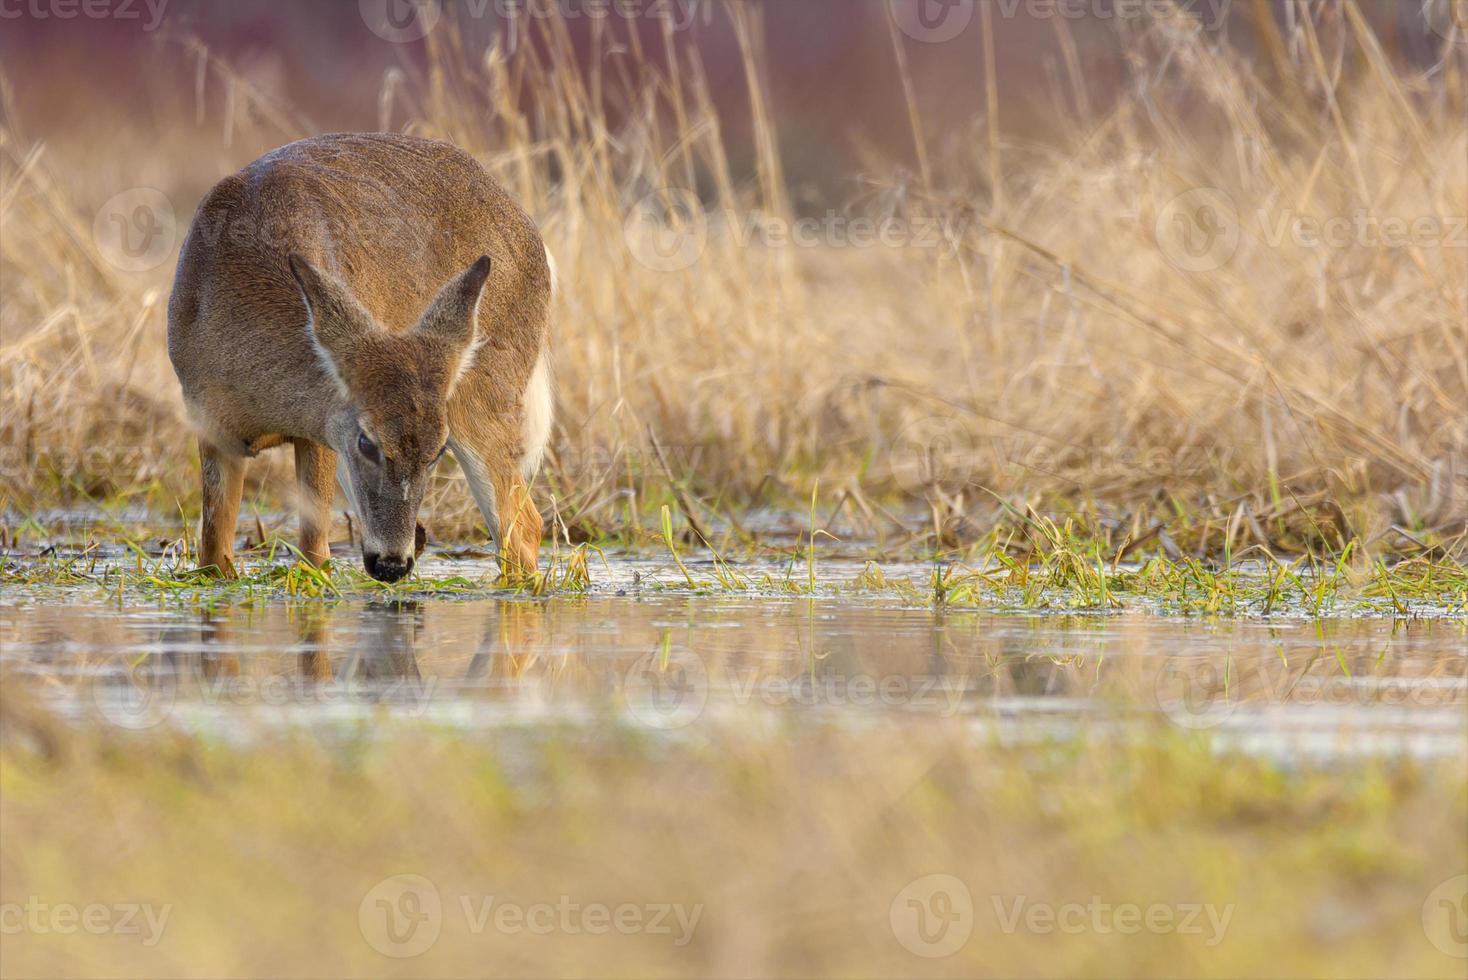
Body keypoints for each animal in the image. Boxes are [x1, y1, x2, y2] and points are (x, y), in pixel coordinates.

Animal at [166, 134, 551, 586]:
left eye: (437, 451)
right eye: (367, 442)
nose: (392, 564)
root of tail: (528, 228)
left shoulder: (319, 431)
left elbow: (315, 554)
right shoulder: (208, 418)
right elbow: (213, 556)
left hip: (487, 394)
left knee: (523, 528)